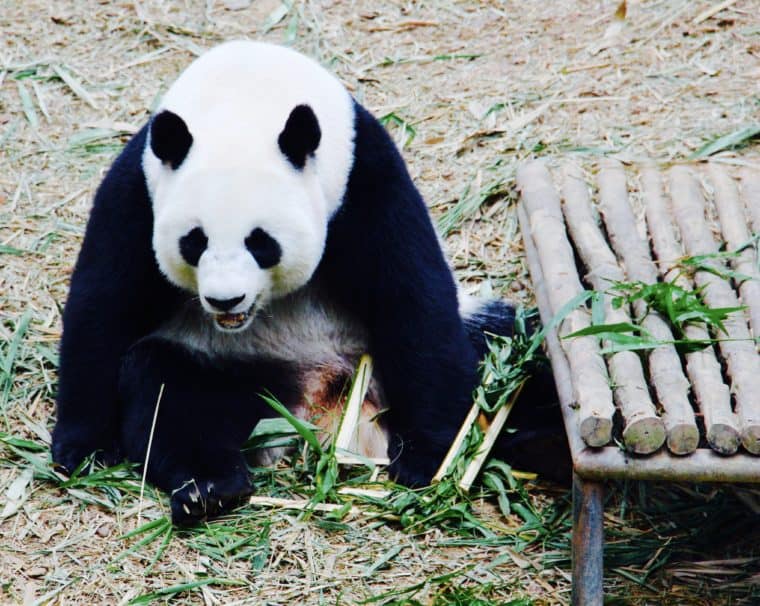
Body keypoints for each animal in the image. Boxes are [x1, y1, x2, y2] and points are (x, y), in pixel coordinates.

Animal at [52, 40, 560, 528]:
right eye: (194, 242)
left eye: (260, 242)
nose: (225, 300)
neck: (244, 98)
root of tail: (320, 409)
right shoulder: (138, 192)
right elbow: (103, 309)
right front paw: (85, 447)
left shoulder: (364, 179)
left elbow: (413, 304)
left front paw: (428, 458)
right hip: (238, 371)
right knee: (168, 392)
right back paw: (210, 489)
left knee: (514, 354)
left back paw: (543, 442)